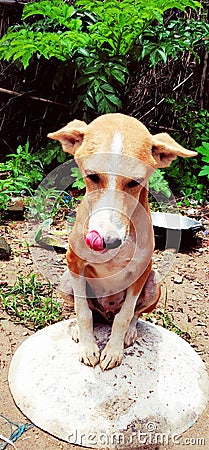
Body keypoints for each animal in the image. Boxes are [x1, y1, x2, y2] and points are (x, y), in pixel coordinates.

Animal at [48, 114, 197, 370]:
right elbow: (82, 311)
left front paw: (113, 350)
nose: (108, 240)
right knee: (88, 311)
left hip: (153, 283)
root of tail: (104, 316)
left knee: (132, 314)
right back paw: (77, 328)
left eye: (135, 183)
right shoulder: (74, 263)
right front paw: (88, 347)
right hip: (66, 280)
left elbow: (125, 315)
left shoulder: (140, 272)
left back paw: (129, 332)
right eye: (92, 176)